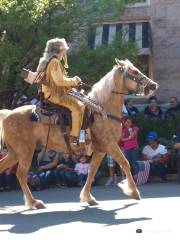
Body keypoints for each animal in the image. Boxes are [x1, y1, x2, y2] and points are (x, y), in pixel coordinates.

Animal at [0, 59, 158, 209]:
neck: (102, 111)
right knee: (21, 174)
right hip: (25, 151)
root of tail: (7, 114)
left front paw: (87, 197)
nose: (153, 85)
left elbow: (92, 170)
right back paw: (34, 202)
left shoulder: (101, 149)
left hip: (15, 153)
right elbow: (125, 163)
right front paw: (133, 192)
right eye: (134, 71)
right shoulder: (110, 145)